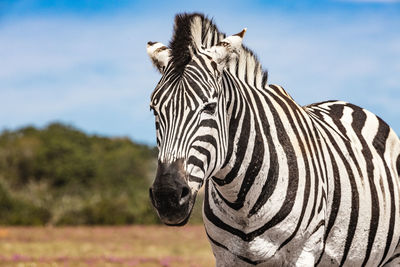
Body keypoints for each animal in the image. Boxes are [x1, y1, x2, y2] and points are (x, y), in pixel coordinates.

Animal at [146, 13, 400, 266]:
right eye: (154, 110)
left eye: (209, 107)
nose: (167, 196)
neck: (240, 201)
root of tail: (349, 105)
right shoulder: (225, 256)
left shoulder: (303, 251)